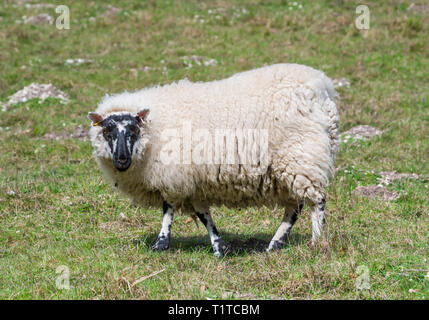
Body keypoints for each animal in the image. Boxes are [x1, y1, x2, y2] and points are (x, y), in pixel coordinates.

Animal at [88, 63, 338, 258]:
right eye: (107, 131)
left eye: (134, 130)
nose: (121, 160)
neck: (155, 129)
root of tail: (323, 87)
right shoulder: (194, 180)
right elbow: (203, 214)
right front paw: (219, 247)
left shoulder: (173, 175)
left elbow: (168, 209)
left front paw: (161, 244)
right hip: (292, 166)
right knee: (294, 207)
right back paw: (274, 245)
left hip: (303, 156)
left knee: (317, 202)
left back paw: (317, 241)